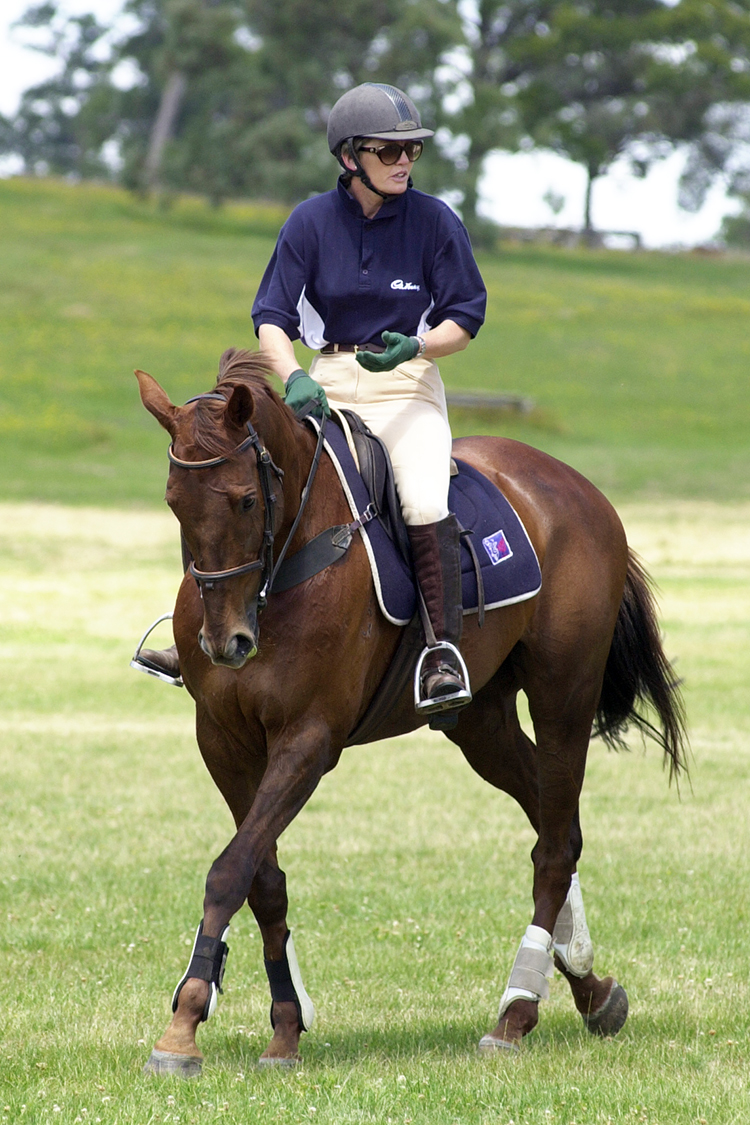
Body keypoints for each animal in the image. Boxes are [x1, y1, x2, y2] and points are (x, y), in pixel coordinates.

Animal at [134, 348, 688, 1071]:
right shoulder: (223, 742)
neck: (281, 574)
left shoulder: (308, 740)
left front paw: (184, 1024)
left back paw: (516, 1011)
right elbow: (262, 878)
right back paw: (590, 987)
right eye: (174, 503)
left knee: (555, 846)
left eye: (246, 500)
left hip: (563, 694)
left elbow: (230, 869)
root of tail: (575, 485)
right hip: (482, 723)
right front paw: (285, 1025)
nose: (225, 643)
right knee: (552, 819)